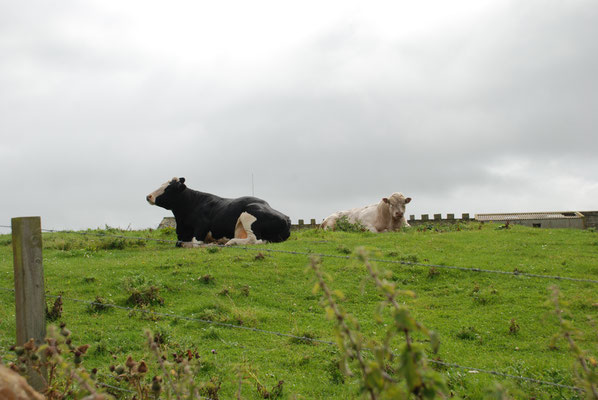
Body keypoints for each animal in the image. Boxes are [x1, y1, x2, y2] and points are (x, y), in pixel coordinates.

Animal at [148, 178, 292, 247]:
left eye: (168, 189)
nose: (148, 196)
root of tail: (286, 217)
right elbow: (179, 243)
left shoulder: (201, 227)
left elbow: (194, 243)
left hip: (248, 215)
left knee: (255, 240)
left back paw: (230, 242)